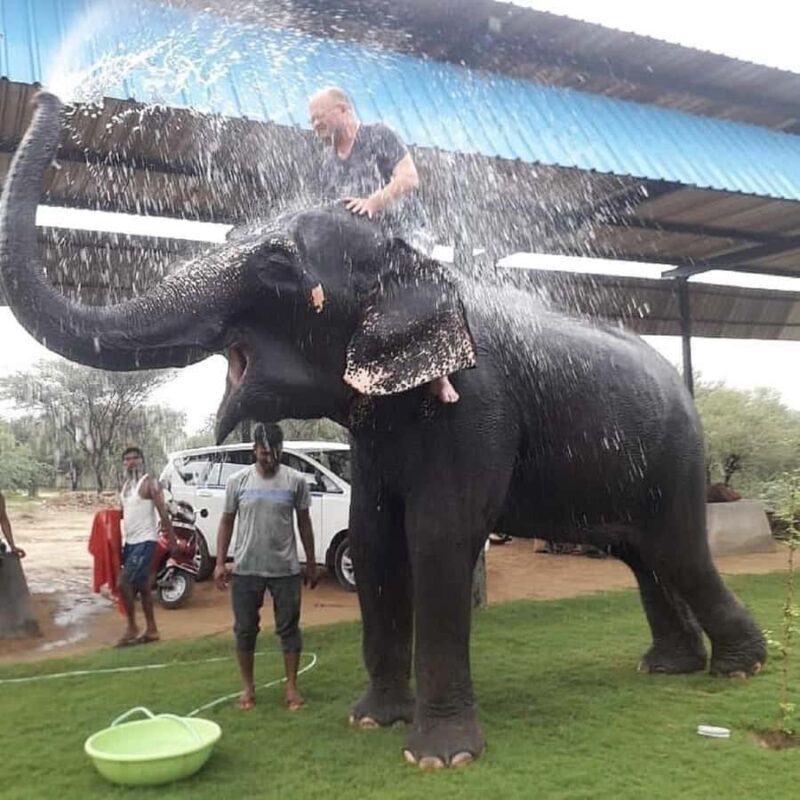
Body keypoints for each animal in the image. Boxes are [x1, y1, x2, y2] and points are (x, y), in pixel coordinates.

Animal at [0, 93, 766, 769]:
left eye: (275, 266)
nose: (53, 98)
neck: (407, 265)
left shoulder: (476, 405)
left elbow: (437, 537)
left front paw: (439, 757)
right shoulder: (375, 438)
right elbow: (373, 540)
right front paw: (371, 720)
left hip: (678, 457)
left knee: (678, 550)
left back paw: (737, 670)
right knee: (641, 555)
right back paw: (667, 667)